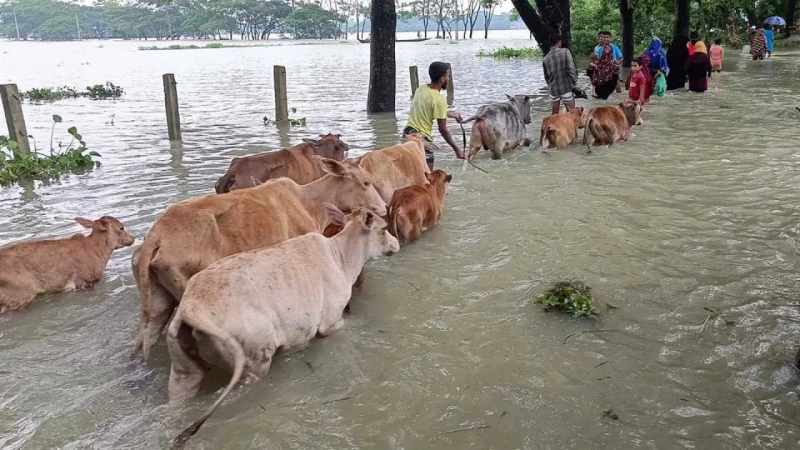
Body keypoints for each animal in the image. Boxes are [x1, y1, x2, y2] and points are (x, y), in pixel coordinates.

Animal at [168, 206, 400, 448]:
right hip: (255, 357)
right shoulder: (331, 321)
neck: (342, 257)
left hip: (183, 370)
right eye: (383, 228)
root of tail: (192, 307)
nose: (396, 243)